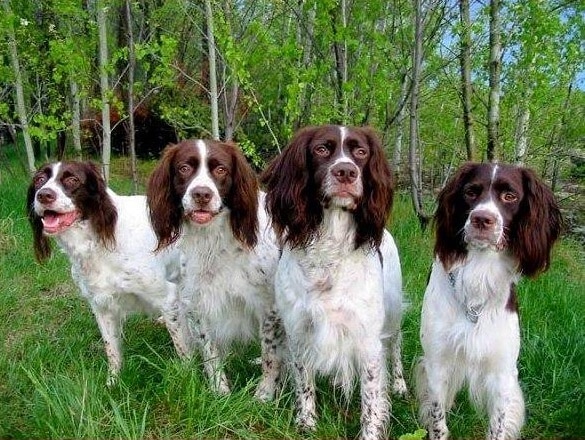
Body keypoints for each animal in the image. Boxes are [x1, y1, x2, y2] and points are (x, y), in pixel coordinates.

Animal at [262, 124, 406, 440]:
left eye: (361, 152)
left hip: (392, 315)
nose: (346, 172)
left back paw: (401, 385)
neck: (331, 240)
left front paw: (370, 433)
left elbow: (371, 398)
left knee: (396, 348)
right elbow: (304, 382)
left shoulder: (368, 338)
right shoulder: (299, 330)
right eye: (322, 149)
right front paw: (307, 424)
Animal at [416, 162, 560, 440]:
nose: (482, 219)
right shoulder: (437, 363)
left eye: (510, 196)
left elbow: (497, 426)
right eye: (471, 192)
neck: (478, 277)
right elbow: (438, 420)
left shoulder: (501, 373)